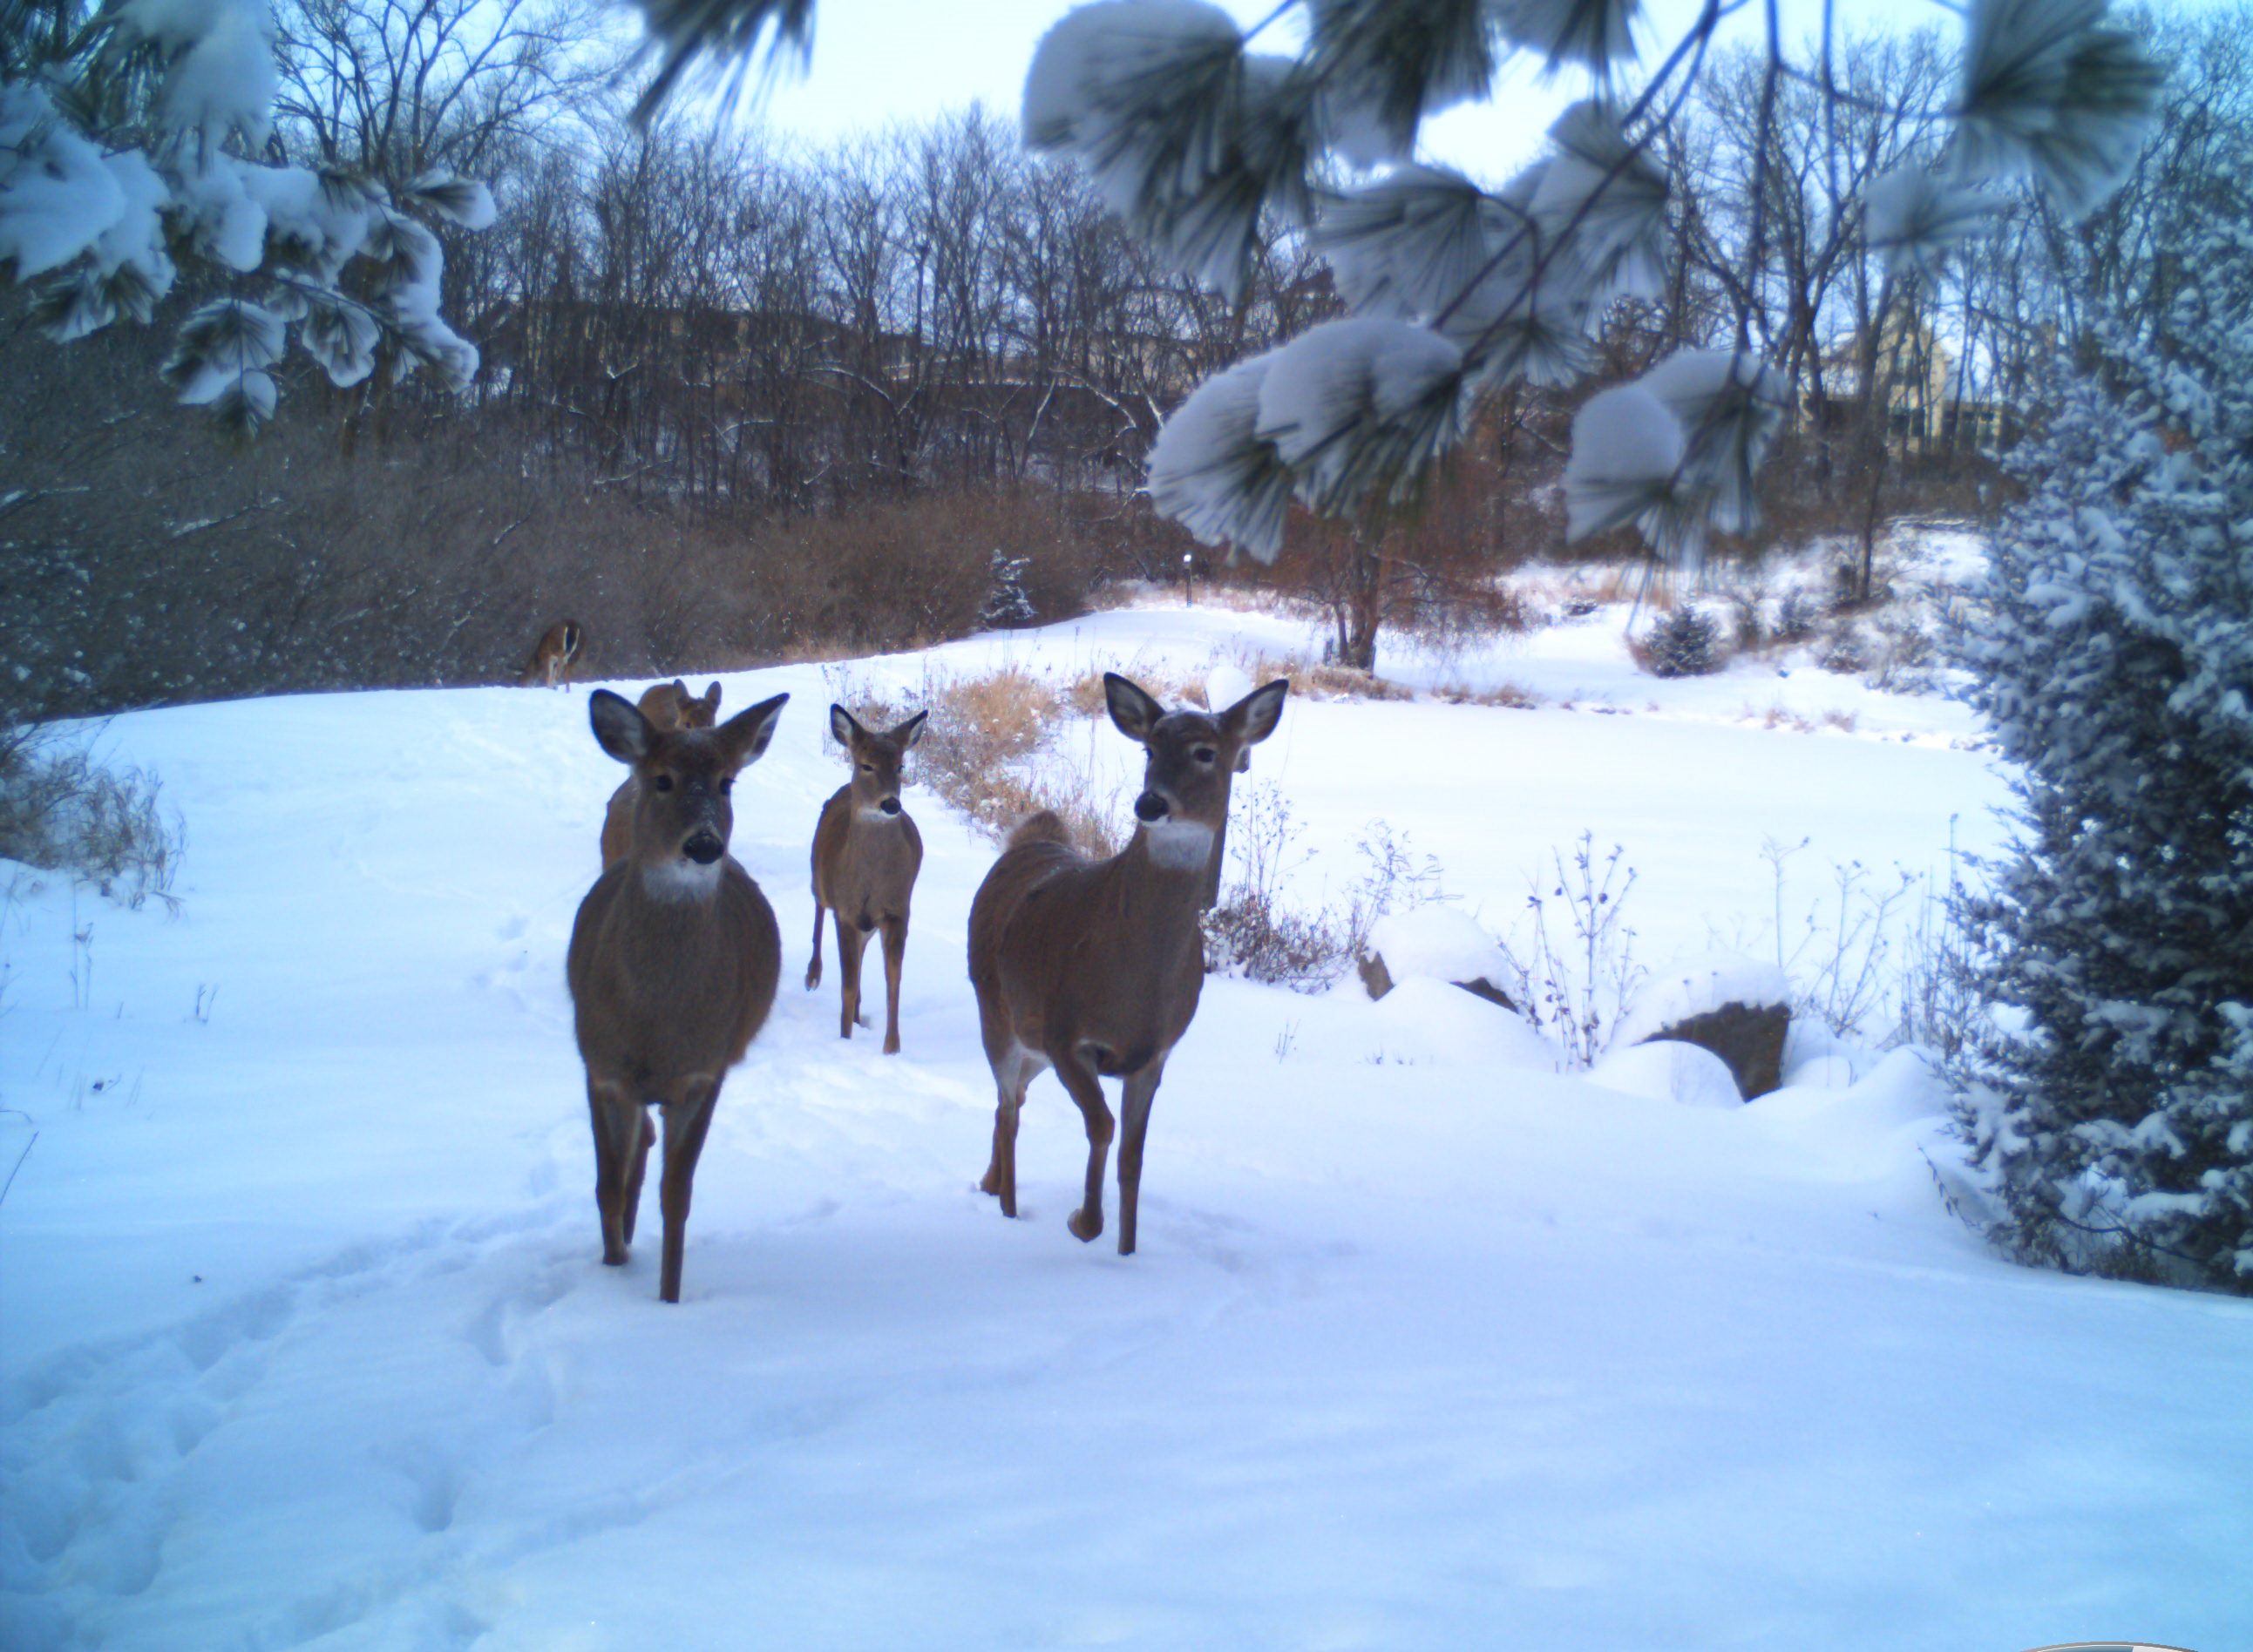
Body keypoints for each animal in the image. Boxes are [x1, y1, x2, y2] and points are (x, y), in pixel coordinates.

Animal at [806, 705, 928, 1054]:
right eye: (867, 765)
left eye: (900, 765)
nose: (891, 803)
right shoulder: (846, 913)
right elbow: (847, 986)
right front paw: (845, 1038)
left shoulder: (897, 911)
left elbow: (893, 980)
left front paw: (892, 1048)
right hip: (819, 877)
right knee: (819, 906)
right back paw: (813, 975)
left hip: (868, 924)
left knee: (860, 958)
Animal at [967, 672, 1287, 1255]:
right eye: (1148, 749)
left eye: (1206, 752)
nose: (1150, 803)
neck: (1136, 975)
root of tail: (1027, 843)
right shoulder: (1068, 1033)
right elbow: (1102, 1125)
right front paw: (1083, 1222)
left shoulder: (1154, 1055)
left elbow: (1133, 1156)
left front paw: (1127, 1250)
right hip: (996, 1010)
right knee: (1008, 1107)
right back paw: (1007, 1207)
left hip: (1030, 1040)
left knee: (1014, 1097)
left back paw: (991, 1183)